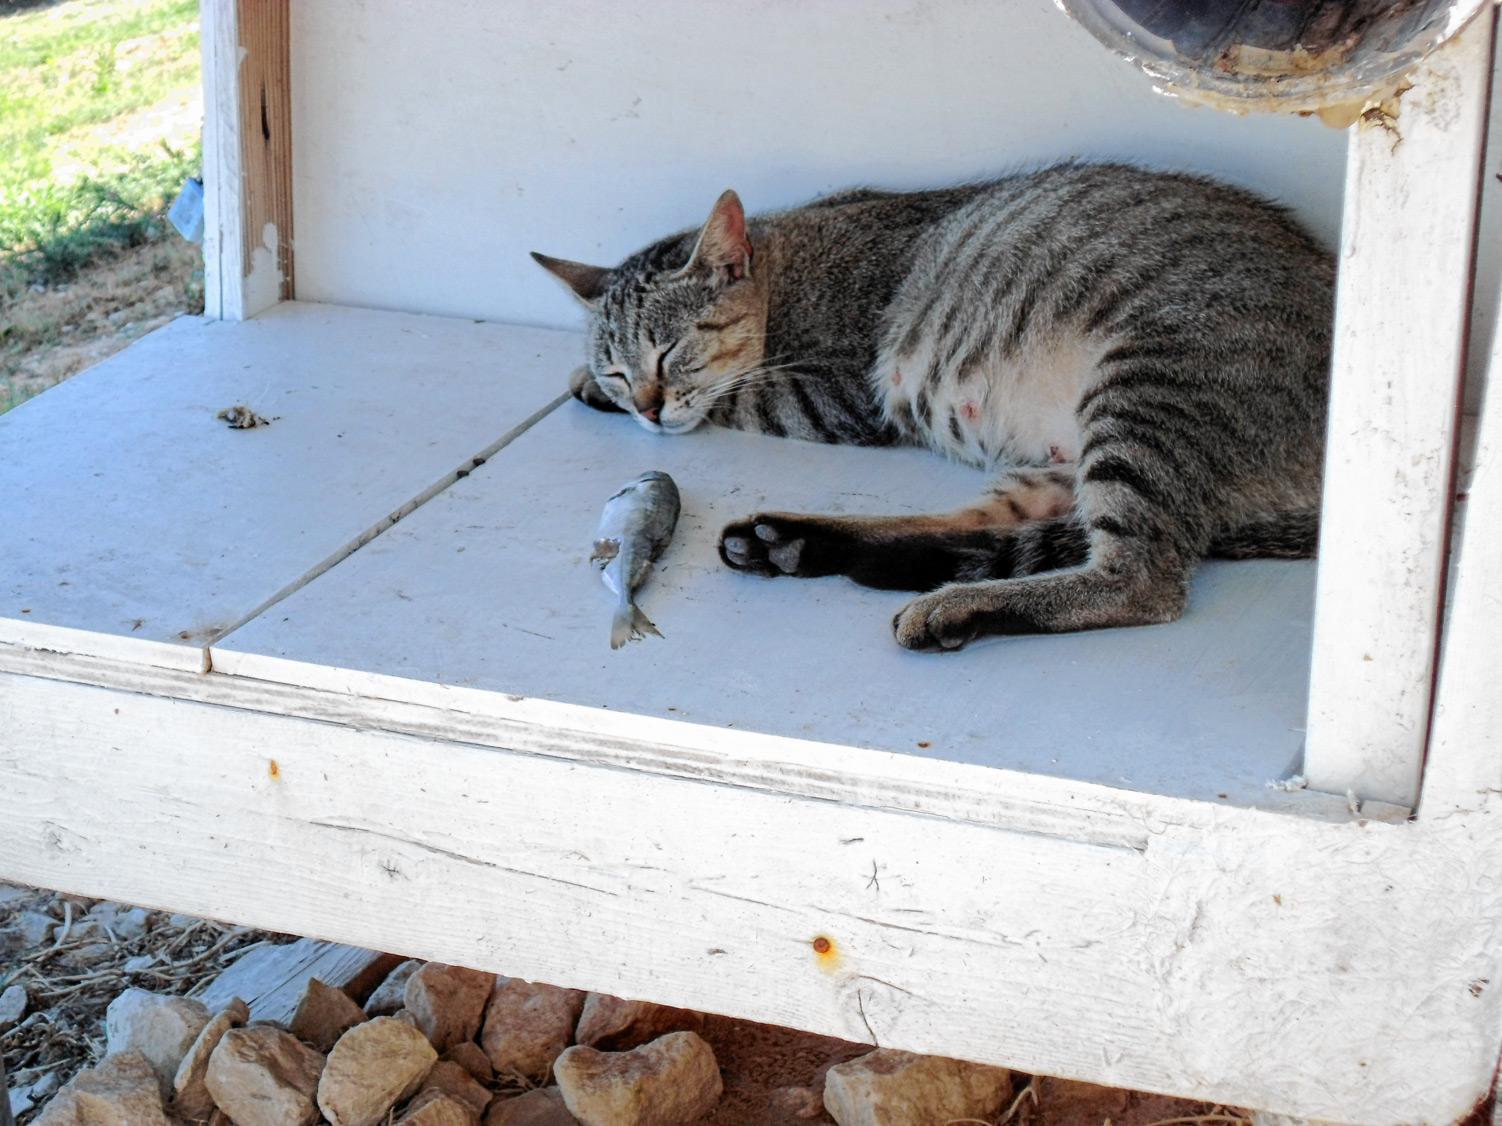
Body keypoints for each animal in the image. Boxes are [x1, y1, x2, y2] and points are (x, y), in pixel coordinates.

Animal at [534, 162, 1333, 648]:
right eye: (618, 368)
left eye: (669, 352)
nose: (641, 406)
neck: (791, 265)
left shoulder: (837, 392)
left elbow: (737, 399)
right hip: (1067, 460)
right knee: (973, 532)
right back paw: (793, 543)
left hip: (1145, 391)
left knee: (1140, 578)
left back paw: (951, 604)